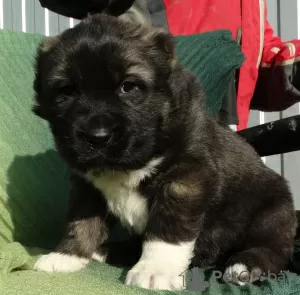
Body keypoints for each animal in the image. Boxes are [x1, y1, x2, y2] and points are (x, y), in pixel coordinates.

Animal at [32, 14, 296, 292]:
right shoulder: (87, 187)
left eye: (128, 87)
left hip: (273, 211)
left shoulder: (185, 180)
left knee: (272, 249)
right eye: (66, 91)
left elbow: (168, 228)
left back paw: (245, 265)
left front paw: (154, 270)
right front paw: (67, 255)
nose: (97, 136)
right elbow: (81, 221)